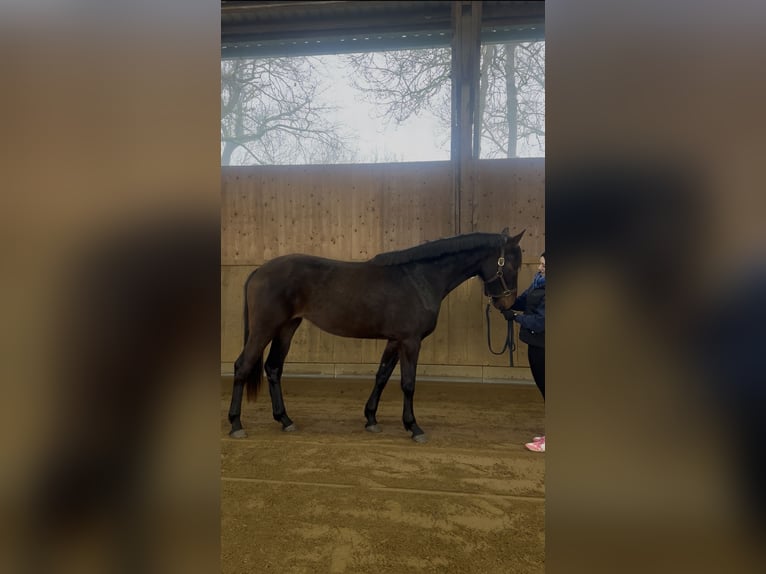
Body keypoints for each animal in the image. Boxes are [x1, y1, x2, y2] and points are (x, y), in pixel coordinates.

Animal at [228, 228, 525, 443]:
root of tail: (259, 270)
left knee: (273, 368)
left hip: (287, 328)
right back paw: (236, 424)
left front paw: (371, 419)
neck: (419, 278)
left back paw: (285, 420)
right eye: (512, 265)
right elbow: (408, 383)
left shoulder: (395, 340)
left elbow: (381, 376)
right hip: (265, 328)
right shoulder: (410, 341)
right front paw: (414, 427)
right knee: (243, 366)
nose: (508, 305)